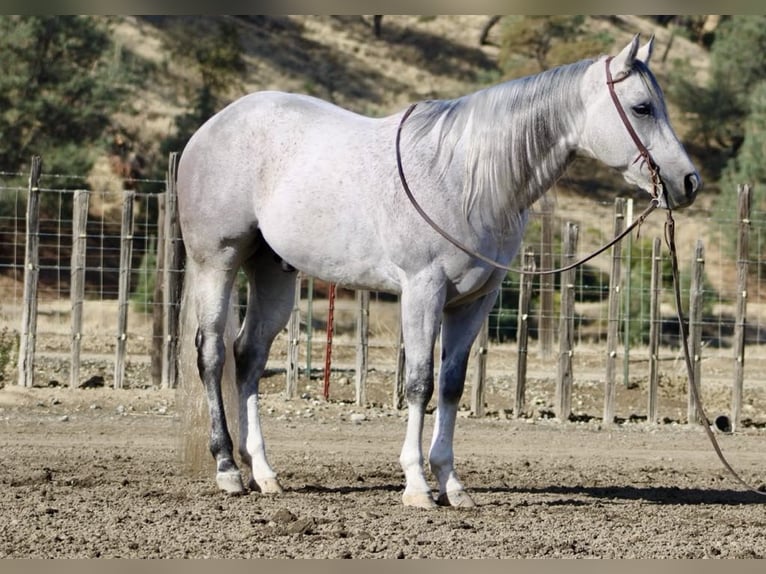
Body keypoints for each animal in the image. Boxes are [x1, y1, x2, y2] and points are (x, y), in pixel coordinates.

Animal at [176, 34, 700, 509]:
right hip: (217, 261)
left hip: (274, 273)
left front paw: (451, 483)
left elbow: (451, 385)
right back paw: (228, 469)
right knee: (213, 354)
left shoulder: (474, 301)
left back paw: (263, 472)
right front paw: (417, 486)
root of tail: (211, 128)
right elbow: (419, 383)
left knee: (248, 357)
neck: (464, 177)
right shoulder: (422, 290)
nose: (688, 181)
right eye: (641, 108)